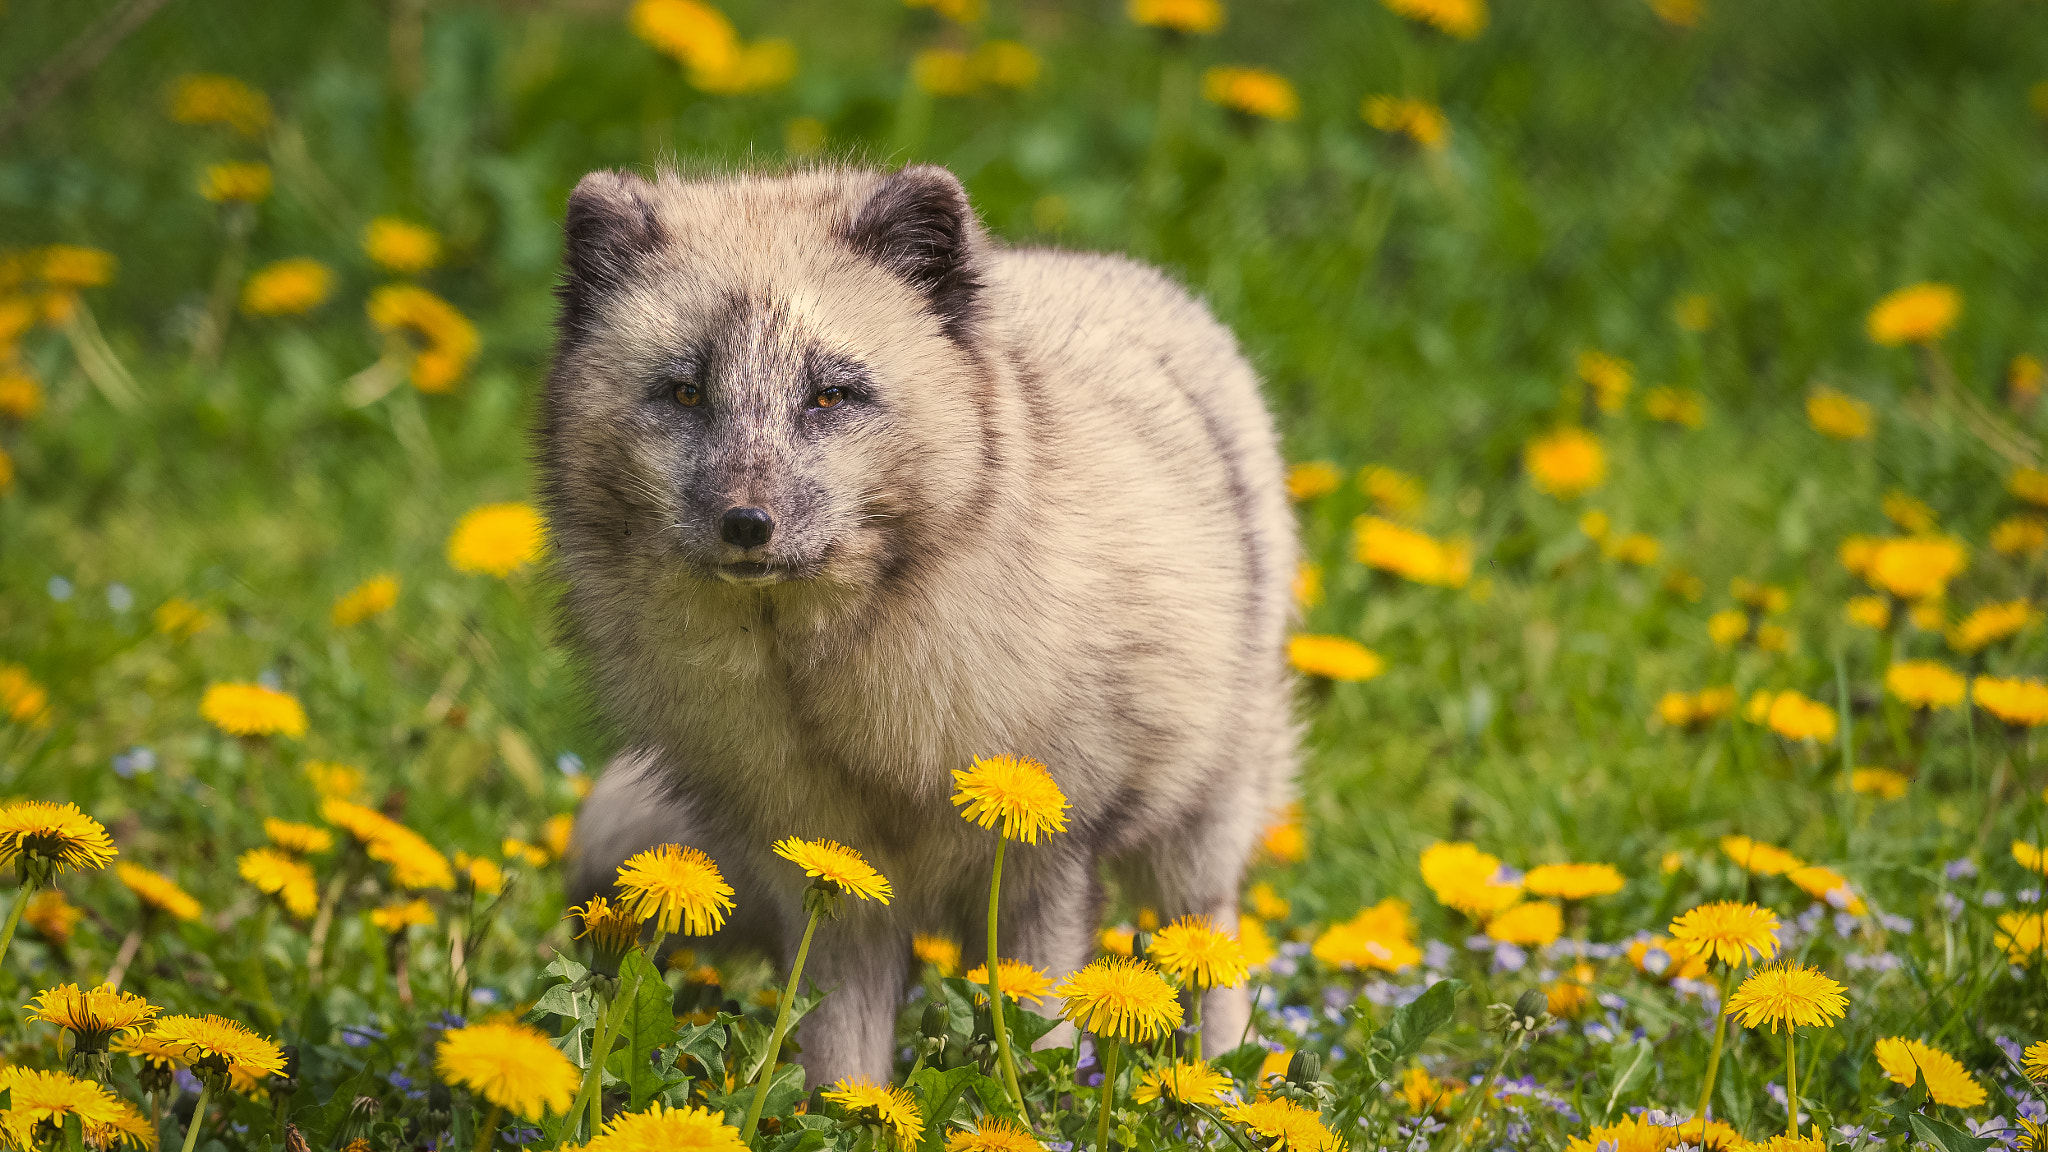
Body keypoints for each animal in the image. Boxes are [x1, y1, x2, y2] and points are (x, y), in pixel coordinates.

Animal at [541, 163, 1296, 1089]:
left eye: (830, 395)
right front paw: (859, 1113)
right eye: (685, 391)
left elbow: (1039, 1037)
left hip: (1202, 820)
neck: (831, 689)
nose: (746, 524)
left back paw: (1216, 1089)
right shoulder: (826, 875)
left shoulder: (1046, 861)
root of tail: (1099, 265)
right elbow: (841, 1068)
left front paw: (1028, 1108)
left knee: (1208, 950)